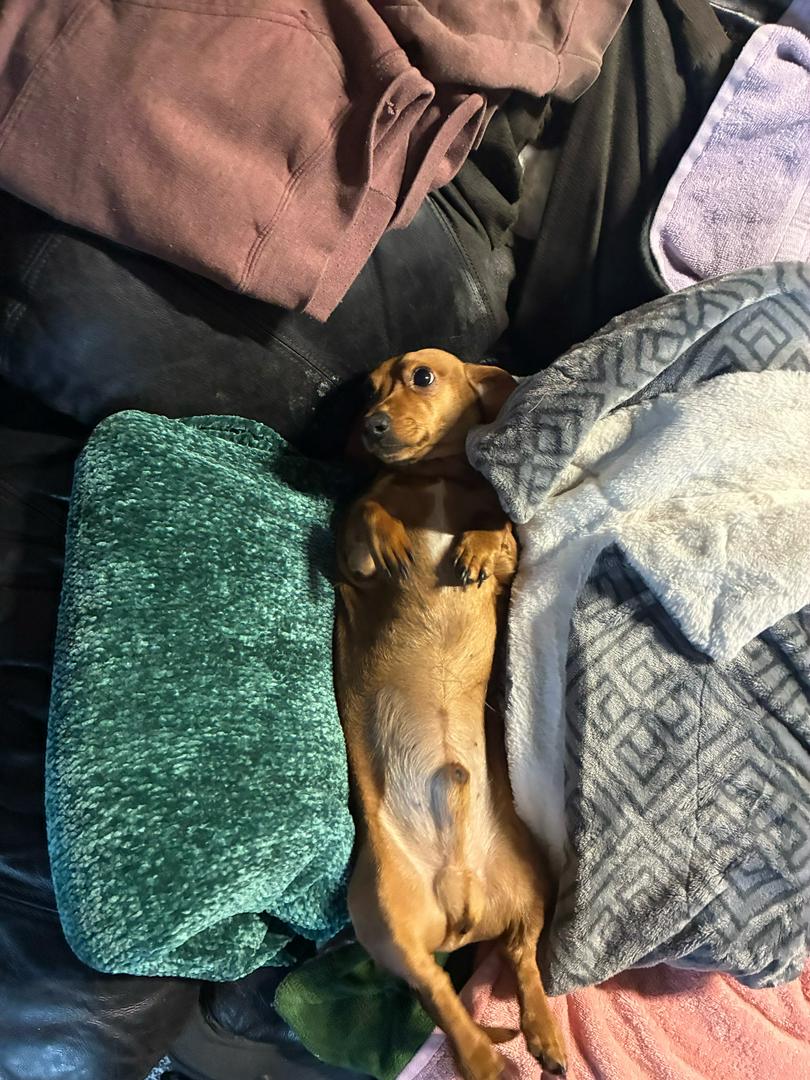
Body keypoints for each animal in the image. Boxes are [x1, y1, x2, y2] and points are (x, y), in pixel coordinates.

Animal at [334, 349, 567, 1080]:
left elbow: (501, 532)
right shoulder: (353, 560)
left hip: (529, 888)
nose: (370, 427)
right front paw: (390, 531)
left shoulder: (511, 565)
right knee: (437, 990)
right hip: (384, 911)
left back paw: (542, 1032)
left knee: (521, 958)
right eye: (367, 391)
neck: (433, 479)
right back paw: (484, 1058)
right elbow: (364, 508)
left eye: (421, 377)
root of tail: (460, 903)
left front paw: (474, 543)